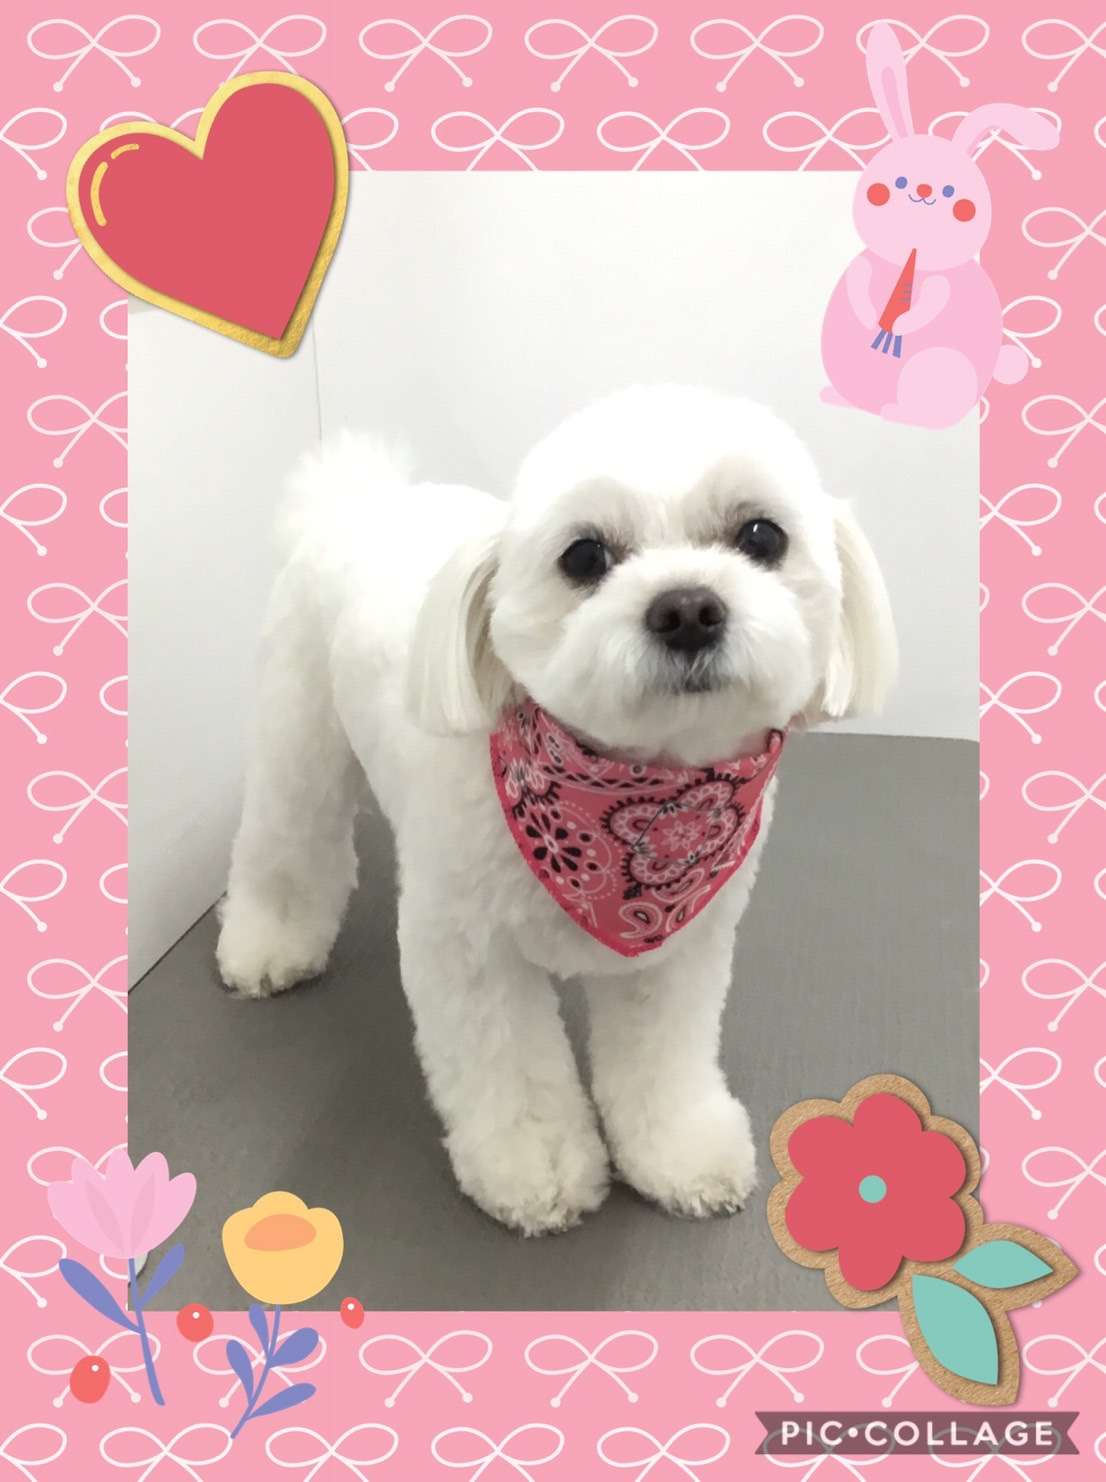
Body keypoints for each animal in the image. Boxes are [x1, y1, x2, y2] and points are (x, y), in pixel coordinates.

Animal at [217, 385, 897, 1235]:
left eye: (761, 535)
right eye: (584, 557)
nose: (687, 609)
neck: (625, 796)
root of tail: (356, 500)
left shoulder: (679, 947)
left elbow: (662, 1061)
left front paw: (679, 1151)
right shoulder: (468, 951)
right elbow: (511, 1070)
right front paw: (534, 1168)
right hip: (298, 735)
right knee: (287, 846)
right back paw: (268, 945)